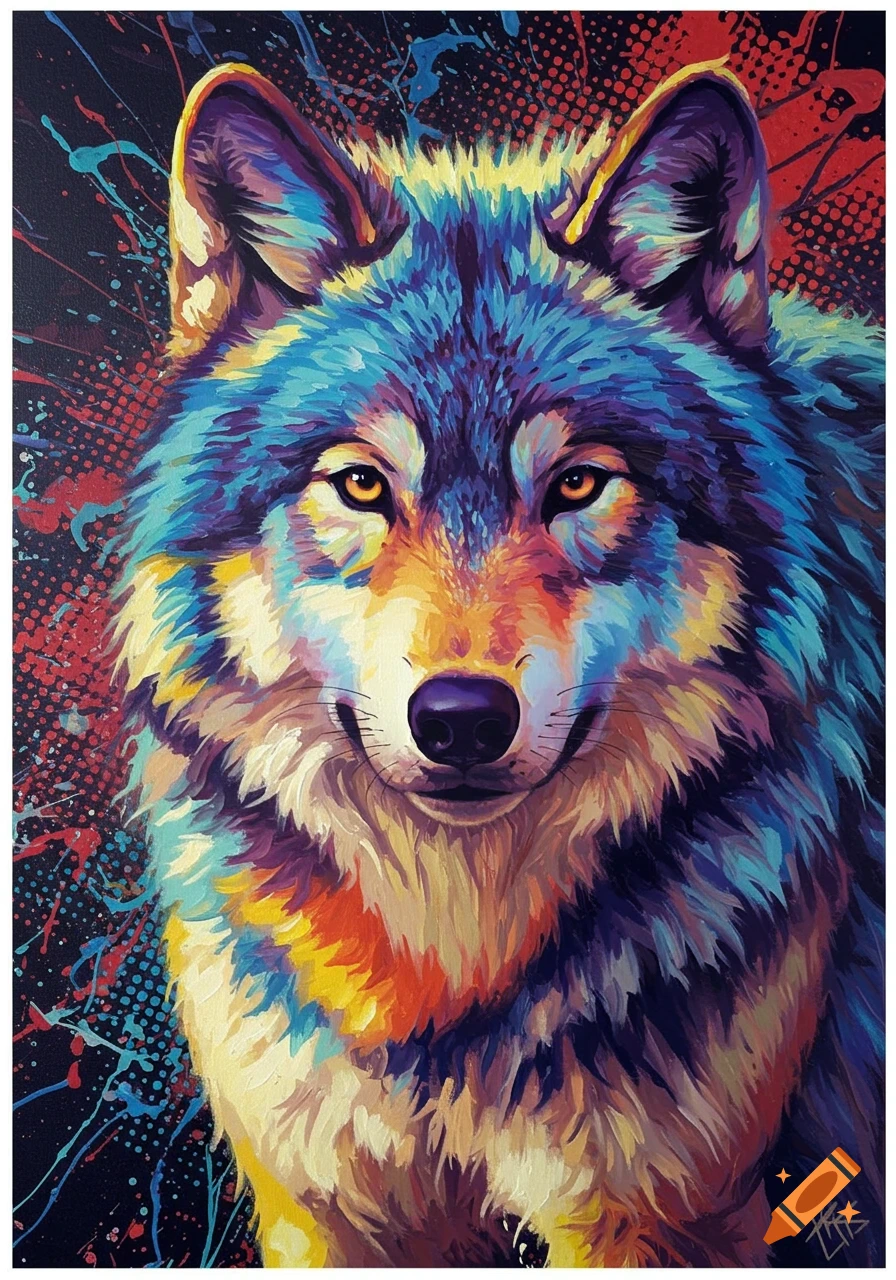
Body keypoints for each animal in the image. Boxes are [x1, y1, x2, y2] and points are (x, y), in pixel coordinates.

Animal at [112, 59, 883, 1267]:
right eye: (361, 483)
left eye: (576, 483)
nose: (462, 717)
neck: (452, 966)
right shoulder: (330, 1209)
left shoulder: (666, 1216)